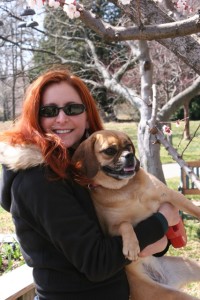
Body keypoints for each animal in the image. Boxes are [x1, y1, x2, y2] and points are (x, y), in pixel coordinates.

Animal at [72, 130, 200, 298]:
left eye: (129, 146)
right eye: (110, 151)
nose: (130, 155)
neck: (125, 188)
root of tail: (163, 279)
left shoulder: (171, 196)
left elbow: (194, 209)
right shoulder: (111, 229)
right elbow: (125, 224)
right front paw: (131, 247)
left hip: (192, 265)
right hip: (172, 295)